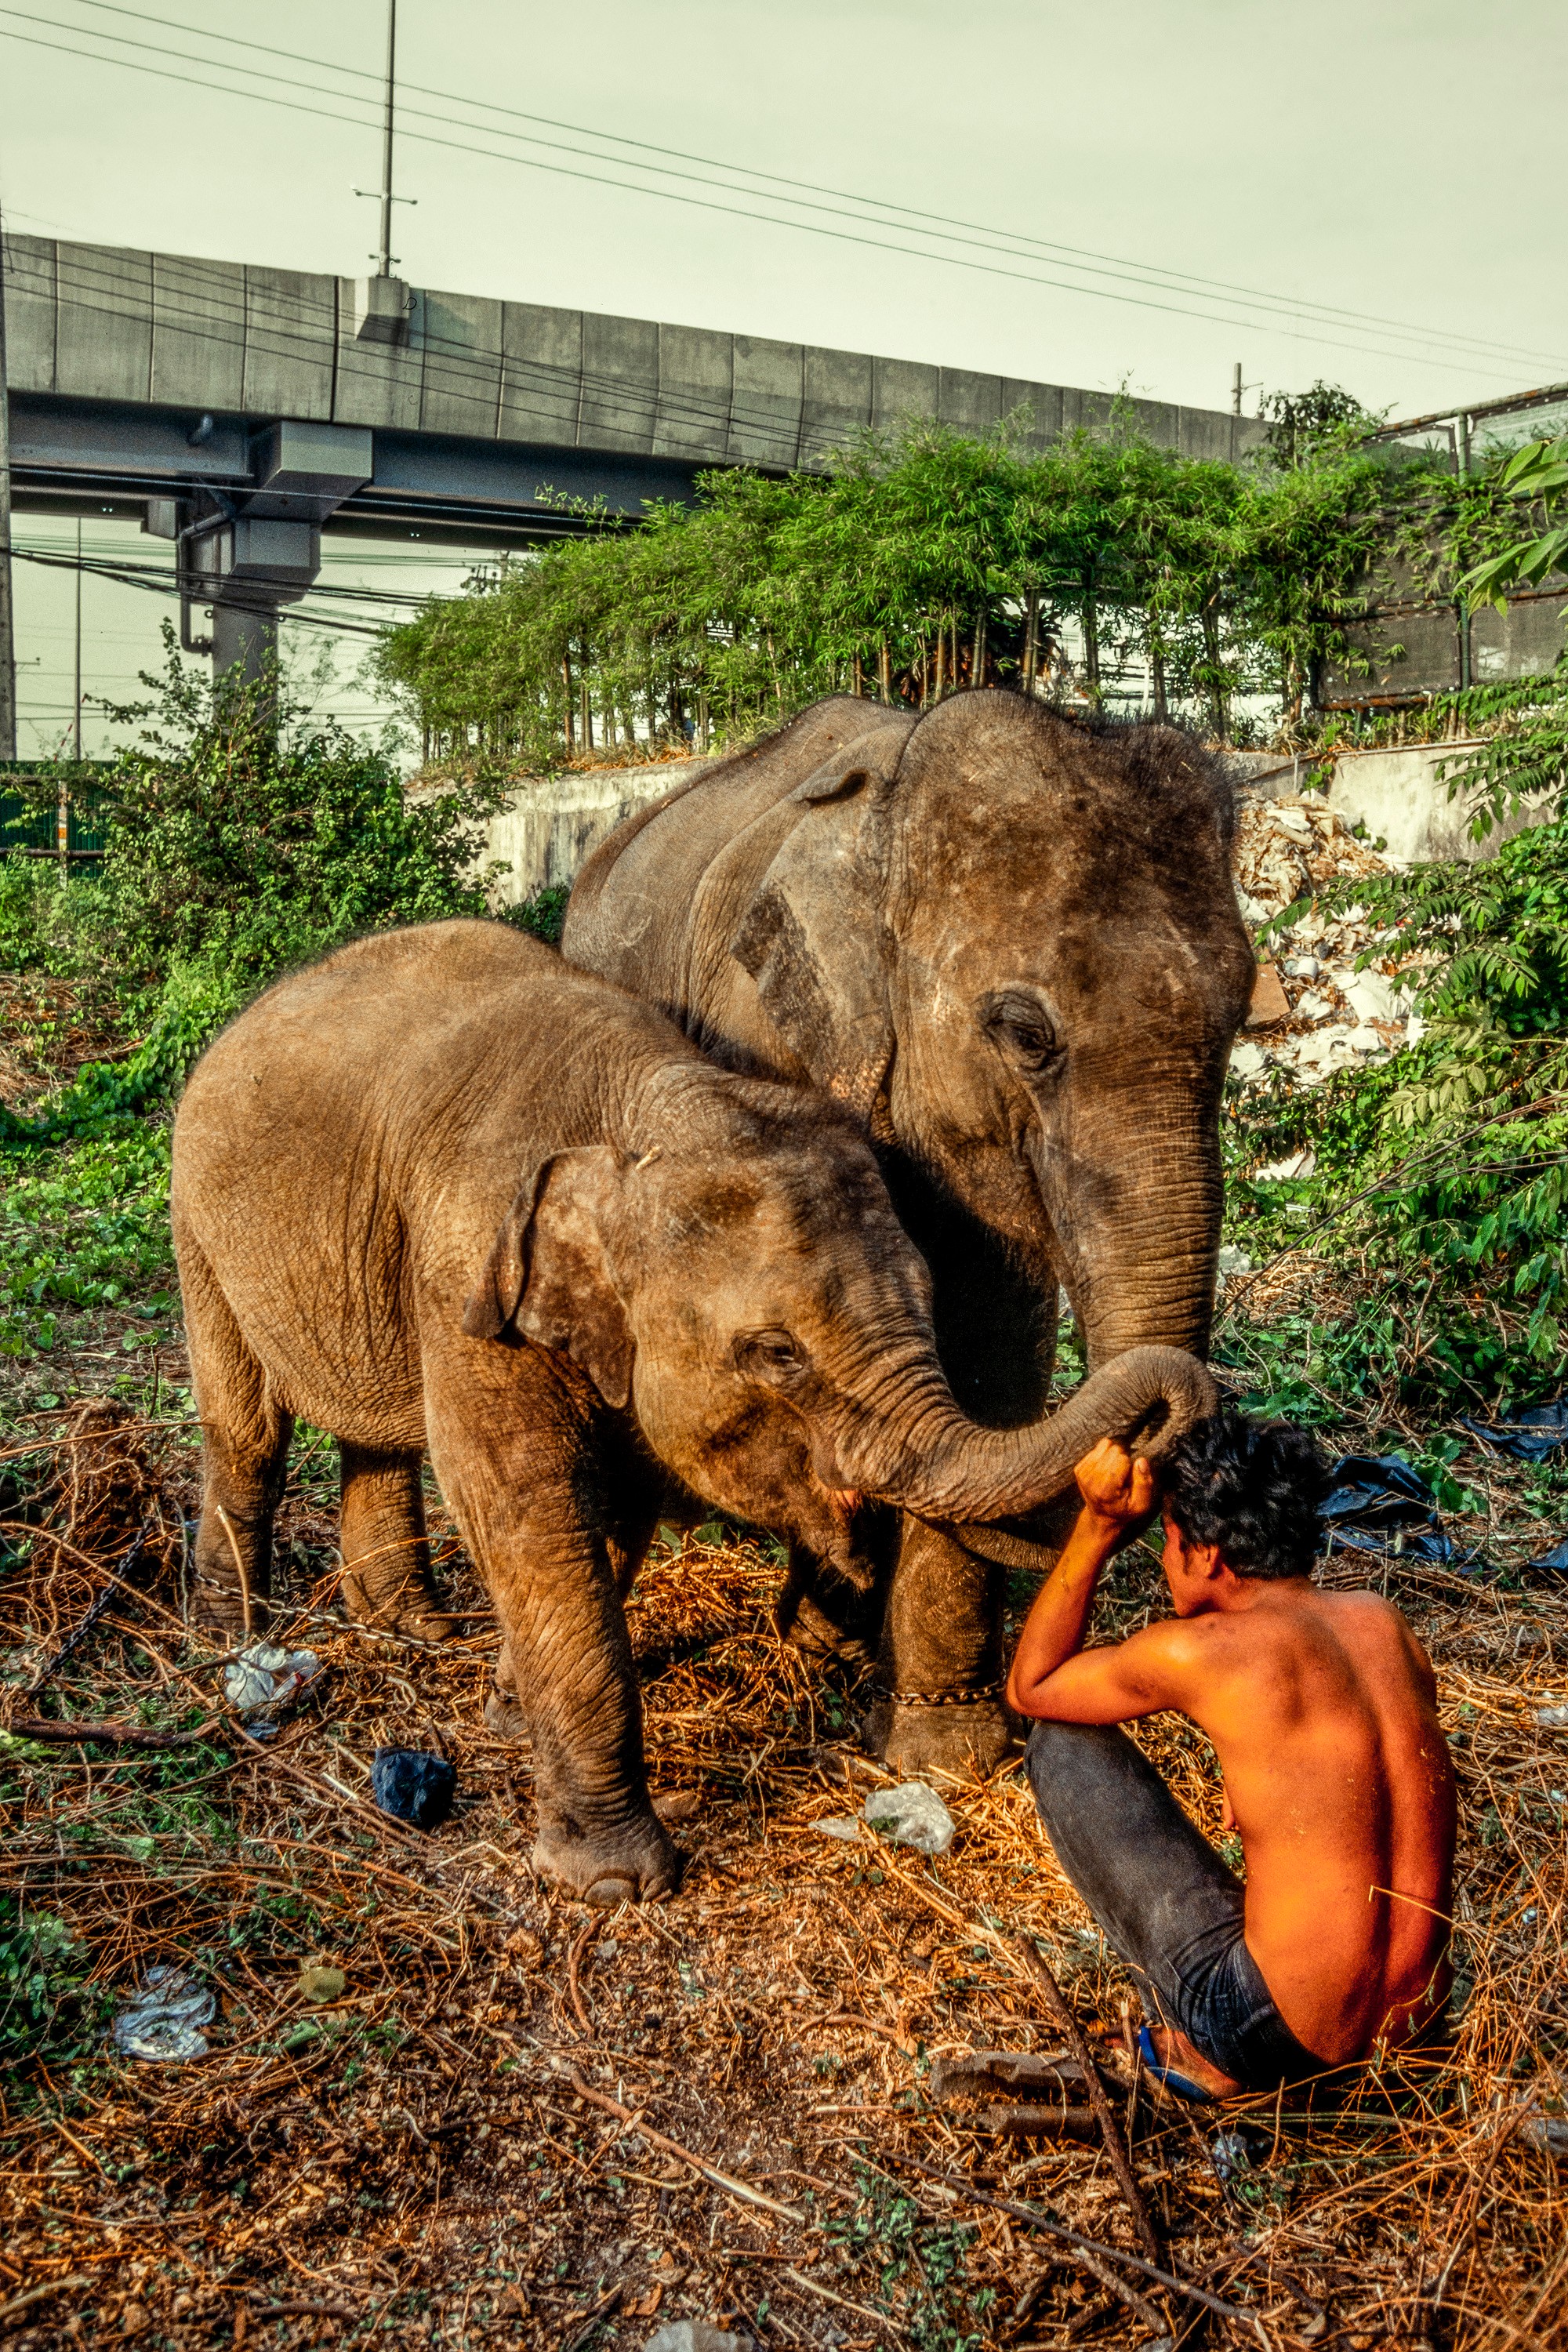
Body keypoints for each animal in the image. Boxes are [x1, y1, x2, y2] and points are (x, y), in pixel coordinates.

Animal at [171, 918, 1216, 1905]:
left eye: (929, 1296)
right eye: (777, 1352)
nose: (1166, 1417)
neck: (652, 1103)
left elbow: (611, 1511)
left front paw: (508, 1714)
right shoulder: (468, 1278)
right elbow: (525, 1506)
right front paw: (612, 1885)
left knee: (373, 1436)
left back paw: (412, 1628)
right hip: (196, 1230)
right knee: (248, 1428)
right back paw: (235, 1634)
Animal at [563, 689, 1254, 1777]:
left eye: (1238, 1021)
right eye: (1026, 1035)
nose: (1157, 1416)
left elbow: (988, 1341)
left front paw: (944, 1750)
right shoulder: (762, 1045)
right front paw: (934, 1747)